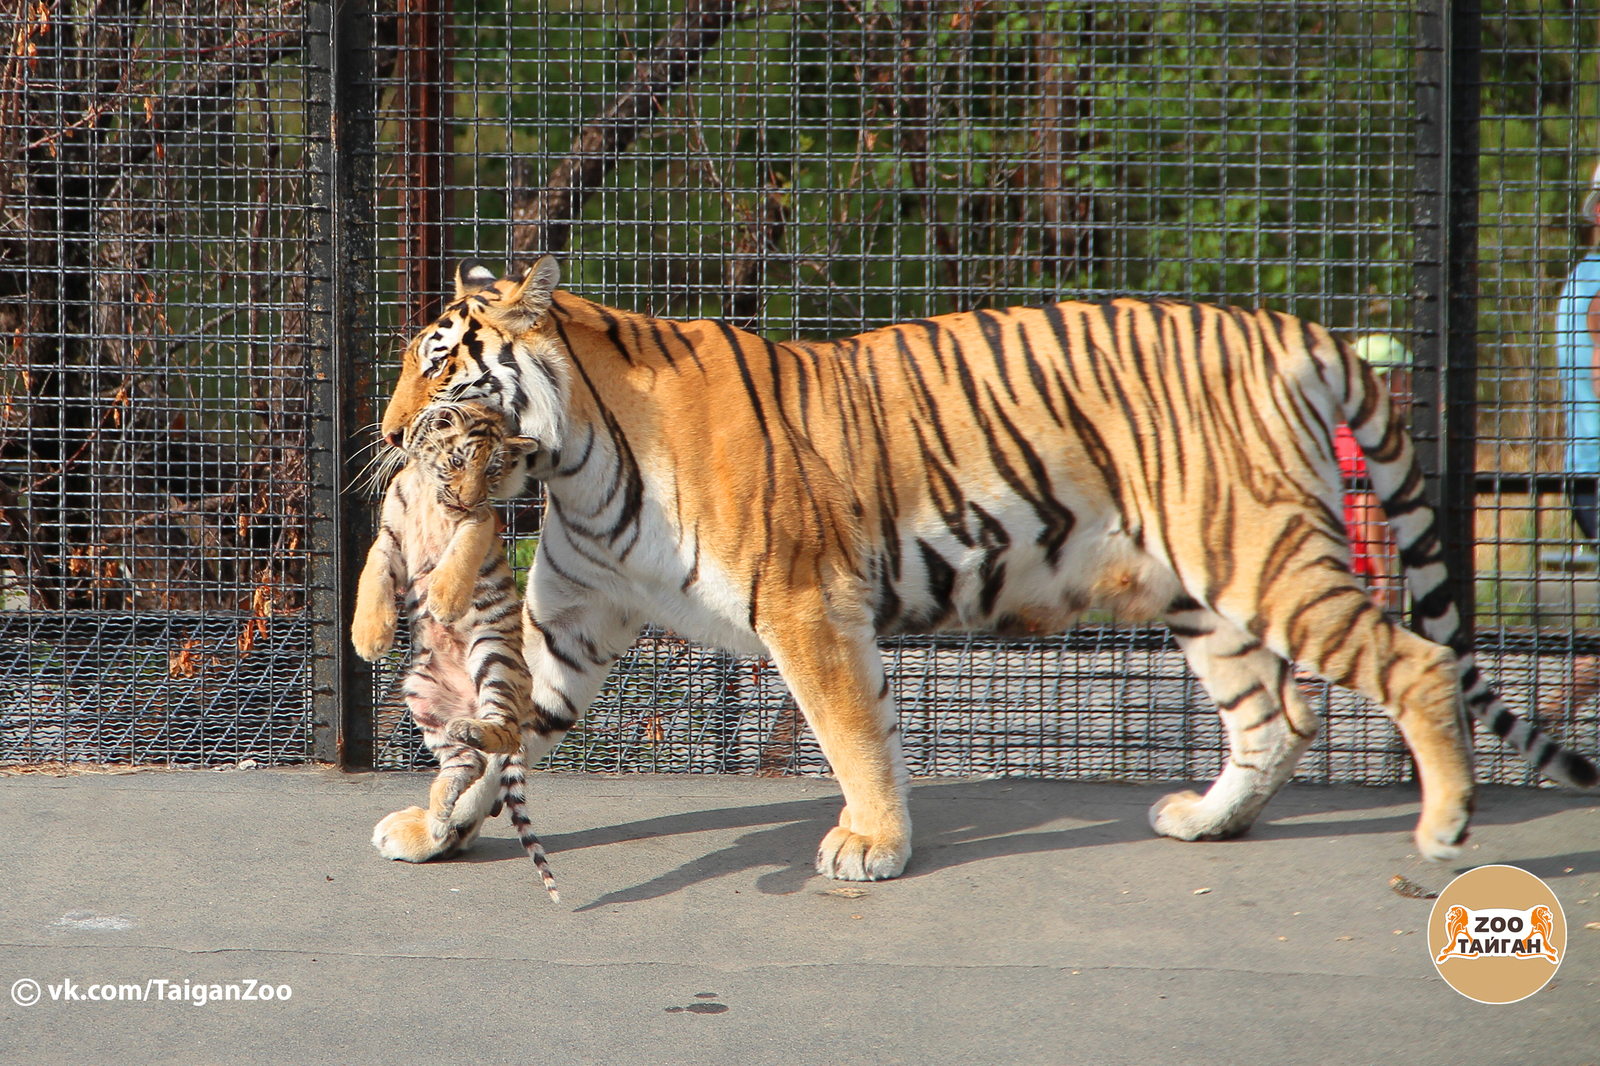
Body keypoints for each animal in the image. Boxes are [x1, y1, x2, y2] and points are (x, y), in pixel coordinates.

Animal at [368, 252, 1593, 877]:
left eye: (438, 367)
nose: (383, 435)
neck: (575, 460)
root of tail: (1288, 327)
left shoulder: (806, 605)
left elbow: (853, 734)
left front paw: (869, 843)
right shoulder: (573, 621)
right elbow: (491, 735)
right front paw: (434, 824)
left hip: (1267, 560)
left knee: (1412, 668)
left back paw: (1442, 833)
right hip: (1201, 590)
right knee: (1276, 715)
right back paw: (1207, 822)